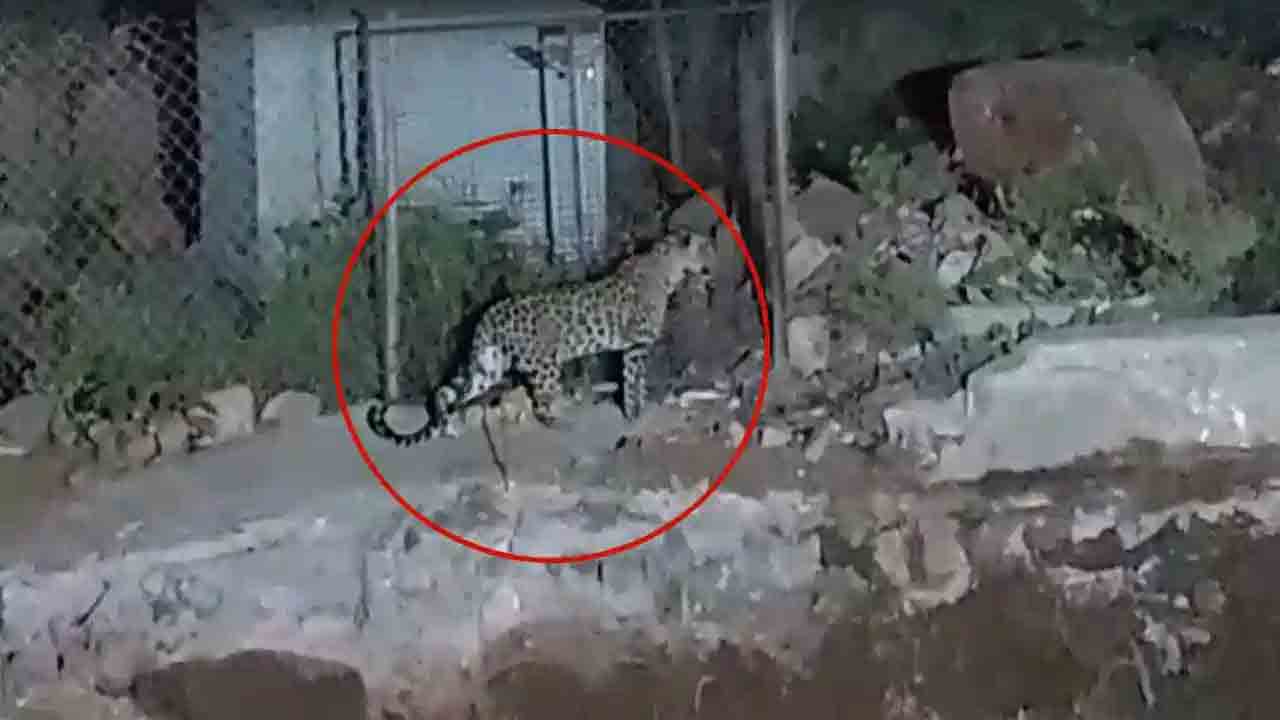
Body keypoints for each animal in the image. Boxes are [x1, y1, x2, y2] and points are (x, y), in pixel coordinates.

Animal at [367, 229, 716, 446]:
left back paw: (448, 427)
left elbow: (631, 385)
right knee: (541, 406)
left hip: (489, 364)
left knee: (447, 392)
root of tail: (490, 313)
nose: (713, 266)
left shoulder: (631, 348)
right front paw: (637, 415)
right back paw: (564, 425)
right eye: (706, 250)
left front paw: (633, 416)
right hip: (545, 364)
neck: (667, 267)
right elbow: (635, 384)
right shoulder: (638, 346)